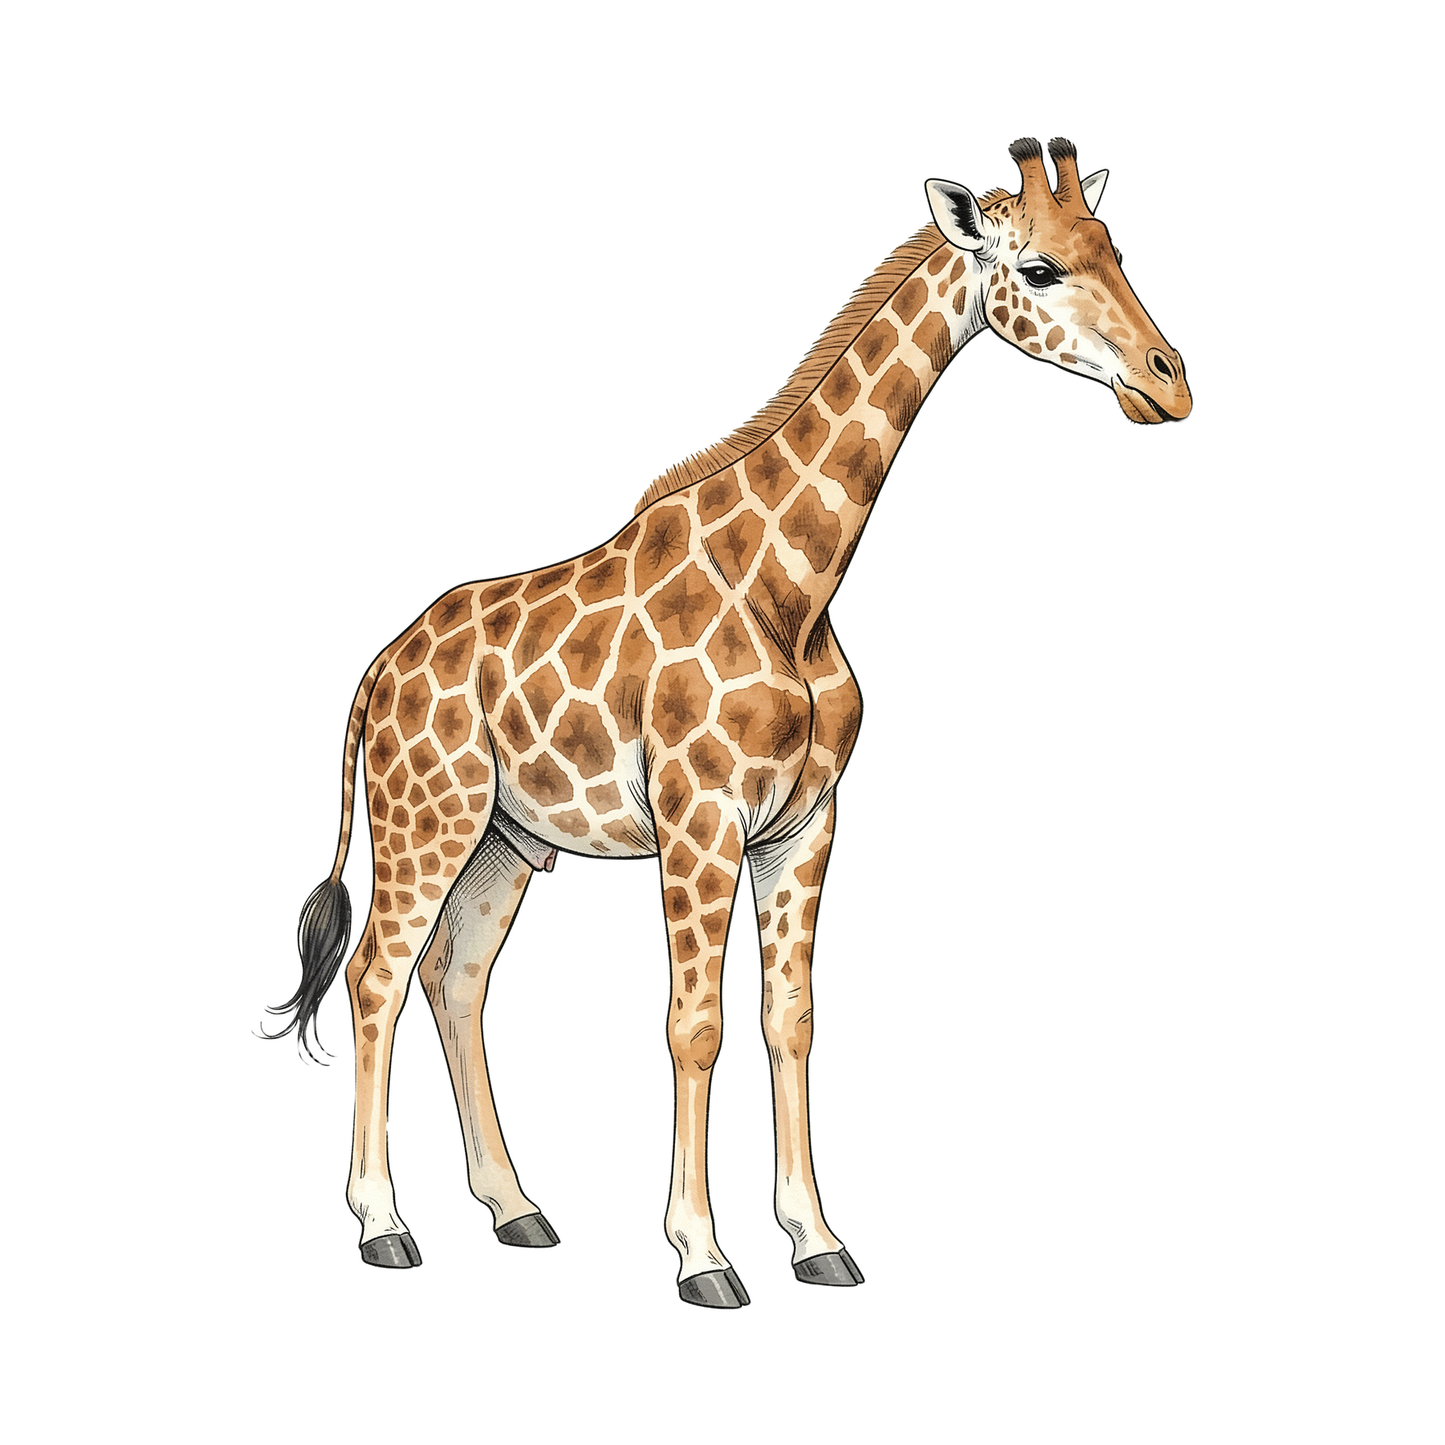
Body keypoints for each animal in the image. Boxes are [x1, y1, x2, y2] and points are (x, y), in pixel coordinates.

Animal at [270, 137, 1190, 1307]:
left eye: (1116, 251)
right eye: (1037, 268)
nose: (1170, 382)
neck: (791, 584)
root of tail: (375, 671)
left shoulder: (804, 822)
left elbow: (788, 1017)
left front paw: (817, 1238)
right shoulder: (699, 817)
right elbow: (693, 1027)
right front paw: (702, 1255)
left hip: (503, 839)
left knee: (455, 978)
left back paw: (516, 1208)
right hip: (423, 817)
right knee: (375, 978)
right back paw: (384, 1223)